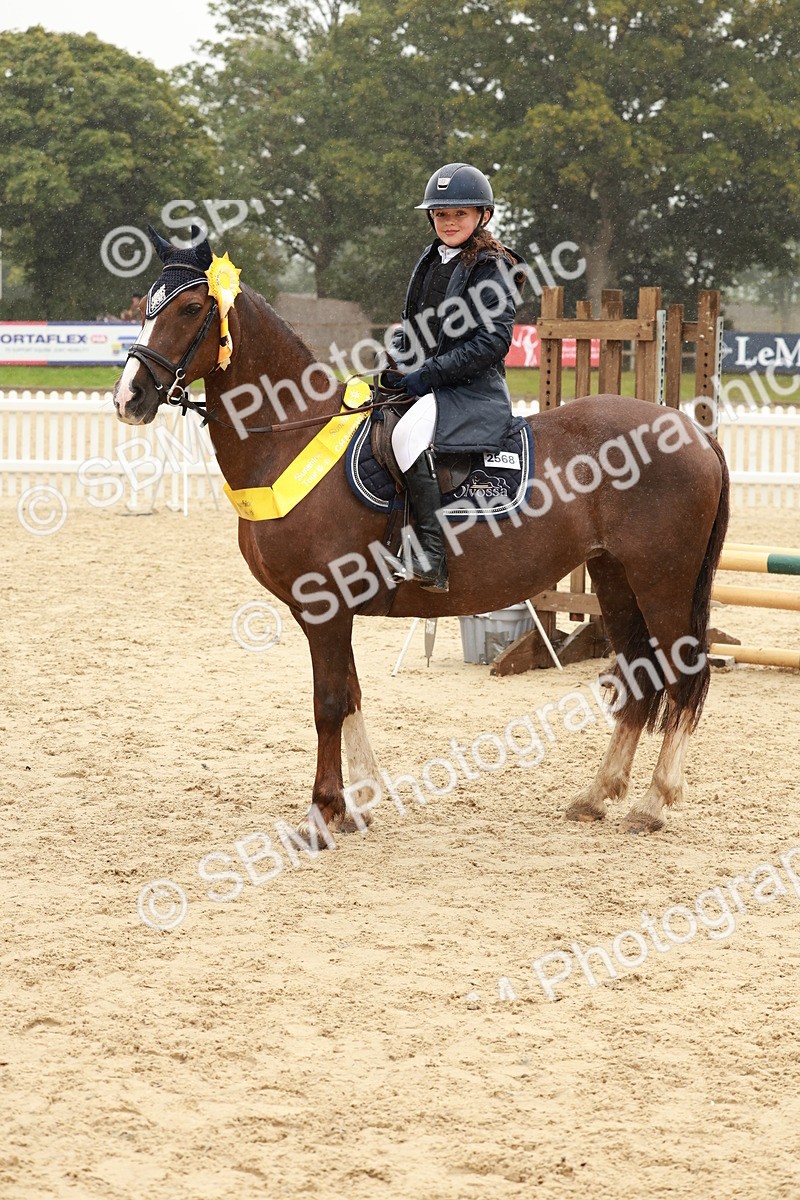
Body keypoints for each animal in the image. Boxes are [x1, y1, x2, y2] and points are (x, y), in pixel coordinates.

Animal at [113, 228, 729, 836]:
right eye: (146, 306)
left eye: (192, 308)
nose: (129, 398)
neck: (290, 437)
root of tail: (692, 433)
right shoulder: (327, 613)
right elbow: (352, 695)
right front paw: (358, 803)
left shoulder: (324, 607)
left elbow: (328, 703)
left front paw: (322, 812)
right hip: (615, 579)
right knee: (640, 677)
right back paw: (598, 796)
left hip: (661, 582)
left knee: (682, 675)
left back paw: (653, 802)